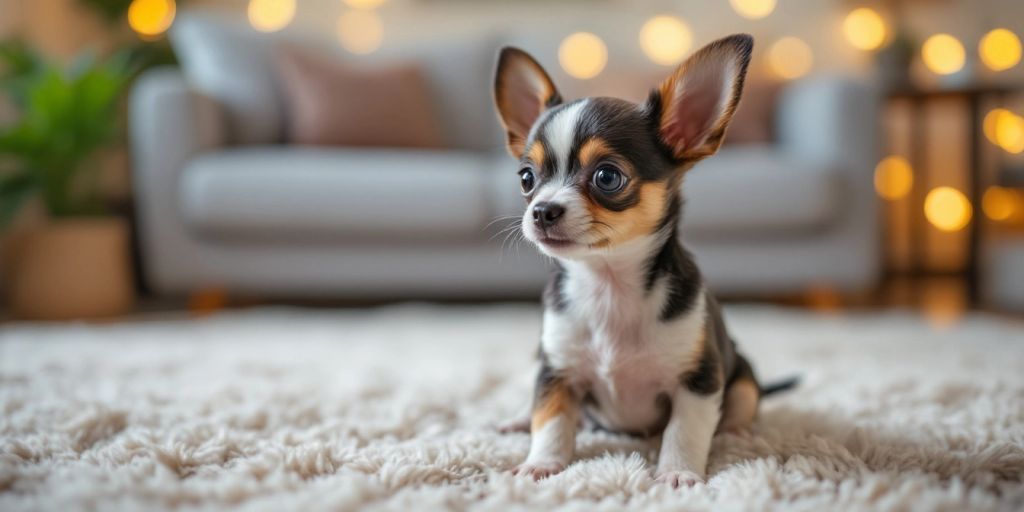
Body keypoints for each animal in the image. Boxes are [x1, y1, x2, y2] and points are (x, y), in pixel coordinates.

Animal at [493, 35, 774, 487]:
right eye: (526, 179)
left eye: (607, 177)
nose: (541, 211)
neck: (608, 285)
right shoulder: (557, 371)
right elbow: (551, 420)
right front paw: (542, 464)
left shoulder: (698, 382)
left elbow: (685, 430)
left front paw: (677, 472)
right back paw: (519, 420)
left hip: (743, 375)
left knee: (741, 404)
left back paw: (736, 433)